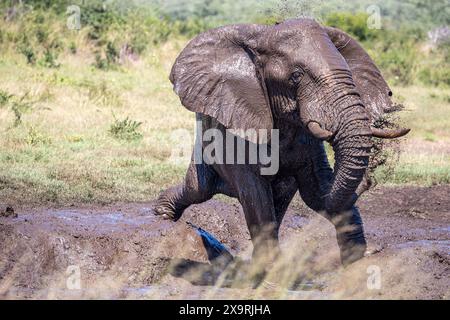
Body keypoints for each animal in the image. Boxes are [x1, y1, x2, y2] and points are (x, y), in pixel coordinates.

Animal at [154, 18, 408, 266]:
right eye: (296, 76)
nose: (370, 180)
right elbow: (256, 196)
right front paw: (267, 270)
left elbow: (317, 192)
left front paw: (355, 261)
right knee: (199, 188)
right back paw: (163, 215)